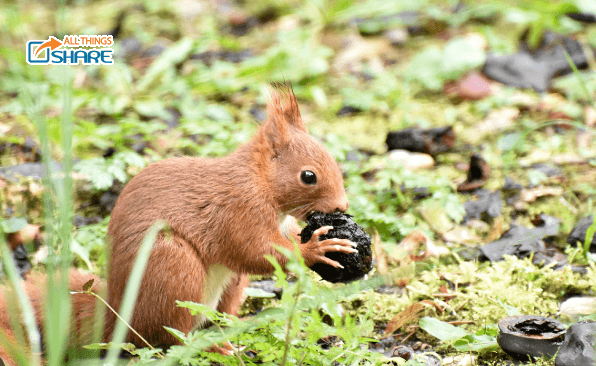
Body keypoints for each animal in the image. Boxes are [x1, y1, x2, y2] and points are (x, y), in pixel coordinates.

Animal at [0, 83, 354, 360]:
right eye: (308, 176)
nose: (342, 206)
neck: (260, 180)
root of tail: (121, 317)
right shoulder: (239, 209)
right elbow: (255, 250)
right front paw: (316, 249)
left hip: (229, 286)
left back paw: (233, 335)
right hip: (172, 269)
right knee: (171, 340)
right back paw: (212, 347)